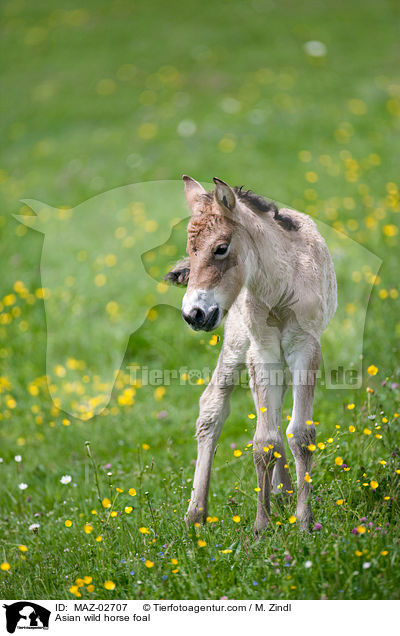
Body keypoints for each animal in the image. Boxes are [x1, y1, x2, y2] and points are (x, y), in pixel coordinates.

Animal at [164, 175, 336, 532]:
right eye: (191, 251)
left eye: (221, 248)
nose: (193, 314)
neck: (281, 288)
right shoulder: (262, 347)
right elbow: (264, 441)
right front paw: (261, 527)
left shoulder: (305, 346)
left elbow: (300, 433)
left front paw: (303, 522)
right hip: (237, 341)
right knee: (213, 404)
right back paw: (195, 514)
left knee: (277, 411)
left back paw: (284, 493)